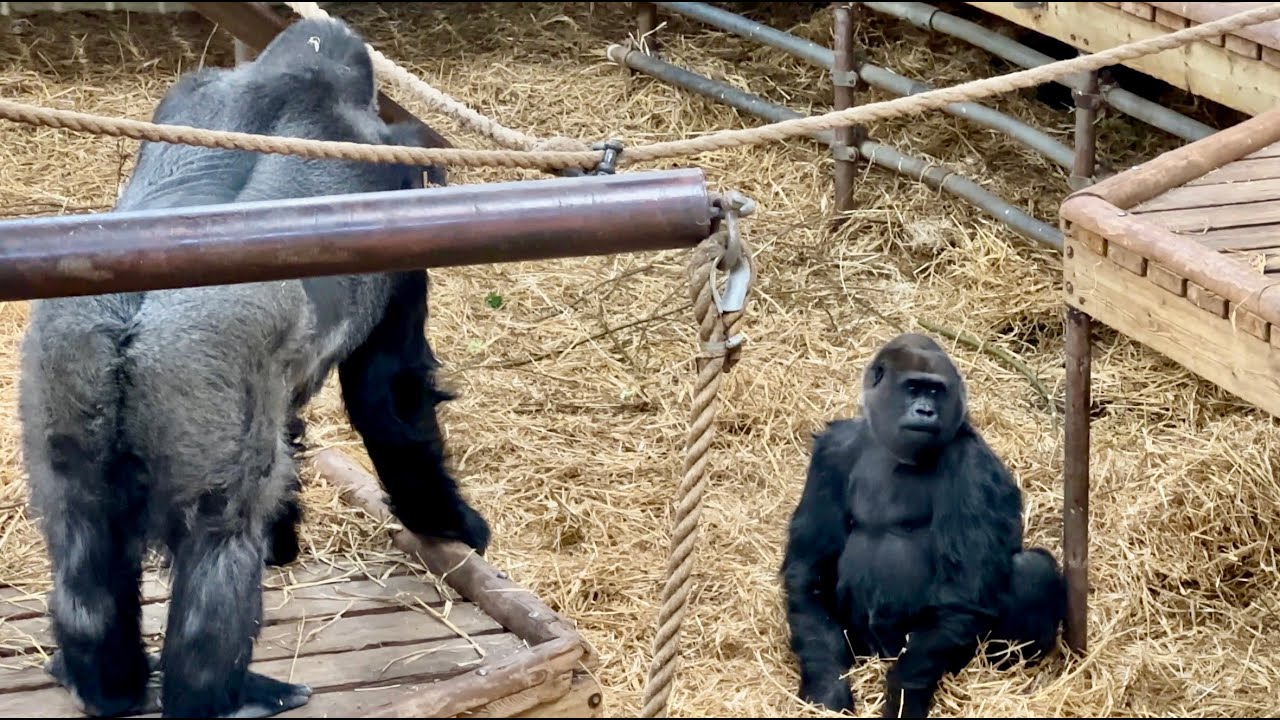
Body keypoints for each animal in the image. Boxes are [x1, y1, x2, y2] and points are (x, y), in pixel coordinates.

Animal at [19, 16, 487, 719]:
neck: (300, 77)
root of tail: (129, 319)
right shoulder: (403, 175)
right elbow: (388, 395)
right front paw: (449, 521)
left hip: (65, 356)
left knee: (82, 534)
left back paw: (105, 683)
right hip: (188, 374)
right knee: (220, 539)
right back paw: (219, 697)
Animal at [780, 333, 1066, 718]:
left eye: (936, 391)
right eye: (913, 388)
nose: (926, 411)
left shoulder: (973, 468)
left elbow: (963, 593)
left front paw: (905, 696)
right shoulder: (832, 451)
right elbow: (810, 570)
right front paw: (827, 687)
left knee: (1033, 569)